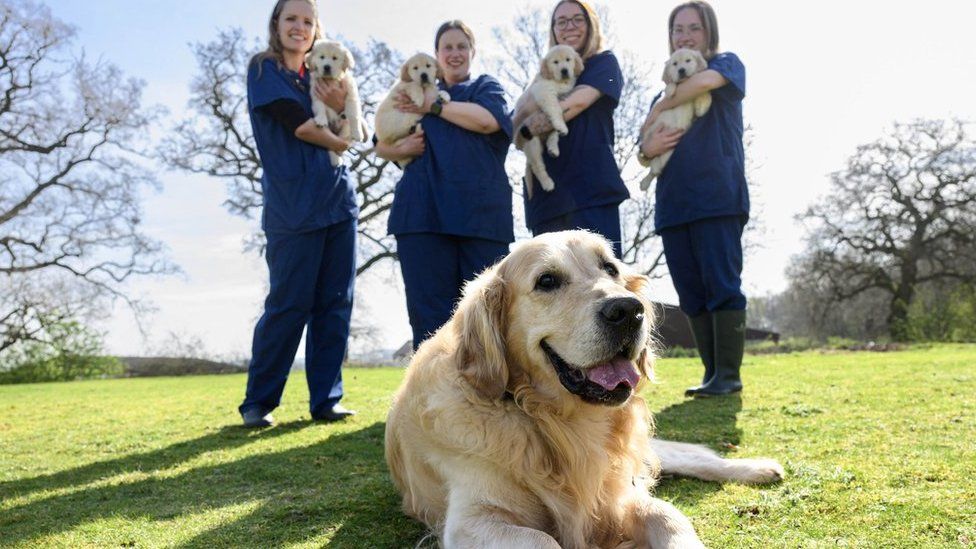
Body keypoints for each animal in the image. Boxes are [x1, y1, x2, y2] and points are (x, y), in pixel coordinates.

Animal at [386, 231, 780, 548]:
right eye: (546, 280)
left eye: (611, 269)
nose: (629, 310)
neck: (556, 421)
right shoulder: (473, 519)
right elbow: (543, 539)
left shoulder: (621, 495)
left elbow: (669, 516)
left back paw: (759, 468)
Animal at [516, 44, 584, 199]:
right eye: (555, 62)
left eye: (568, 60)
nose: (564, 71)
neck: (559, 82)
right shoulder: (544, 91)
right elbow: (556, 109)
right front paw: (561, 125)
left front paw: (560, 128)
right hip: (532, 144)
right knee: (537, 167)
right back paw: (547, 183)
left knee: (552, 135)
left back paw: (553, 147)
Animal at [636, 49, 712, 191]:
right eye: (675, 64)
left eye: (688, 60)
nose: (681, 70)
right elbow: (670, 85)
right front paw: (670, 90)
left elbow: (705, 93)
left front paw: (702, 106)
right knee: (653, 170)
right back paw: (644, 183)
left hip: (667, 155)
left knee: (655, 170)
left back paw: (645, 182)